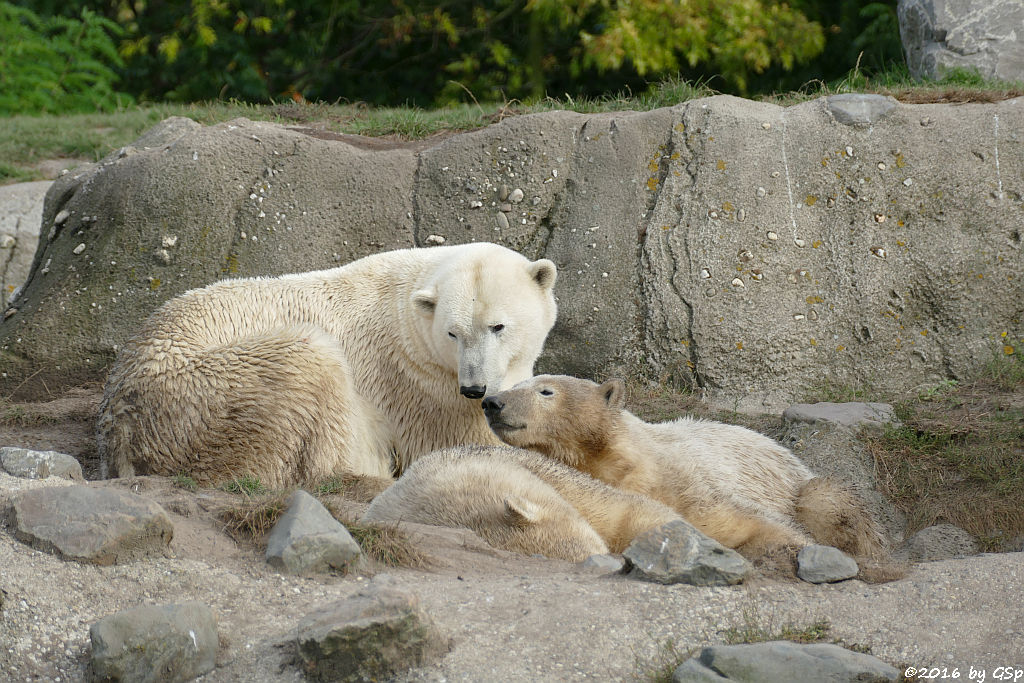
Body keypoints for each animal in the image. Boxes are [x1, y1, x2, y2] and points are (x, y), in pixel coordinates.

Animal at [98, 242, 557, 489]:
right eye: (453, 333)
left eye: (498, 326)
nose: (475, 389)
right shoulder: (422, 384)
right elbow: (474, 444)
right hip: (201, 398)